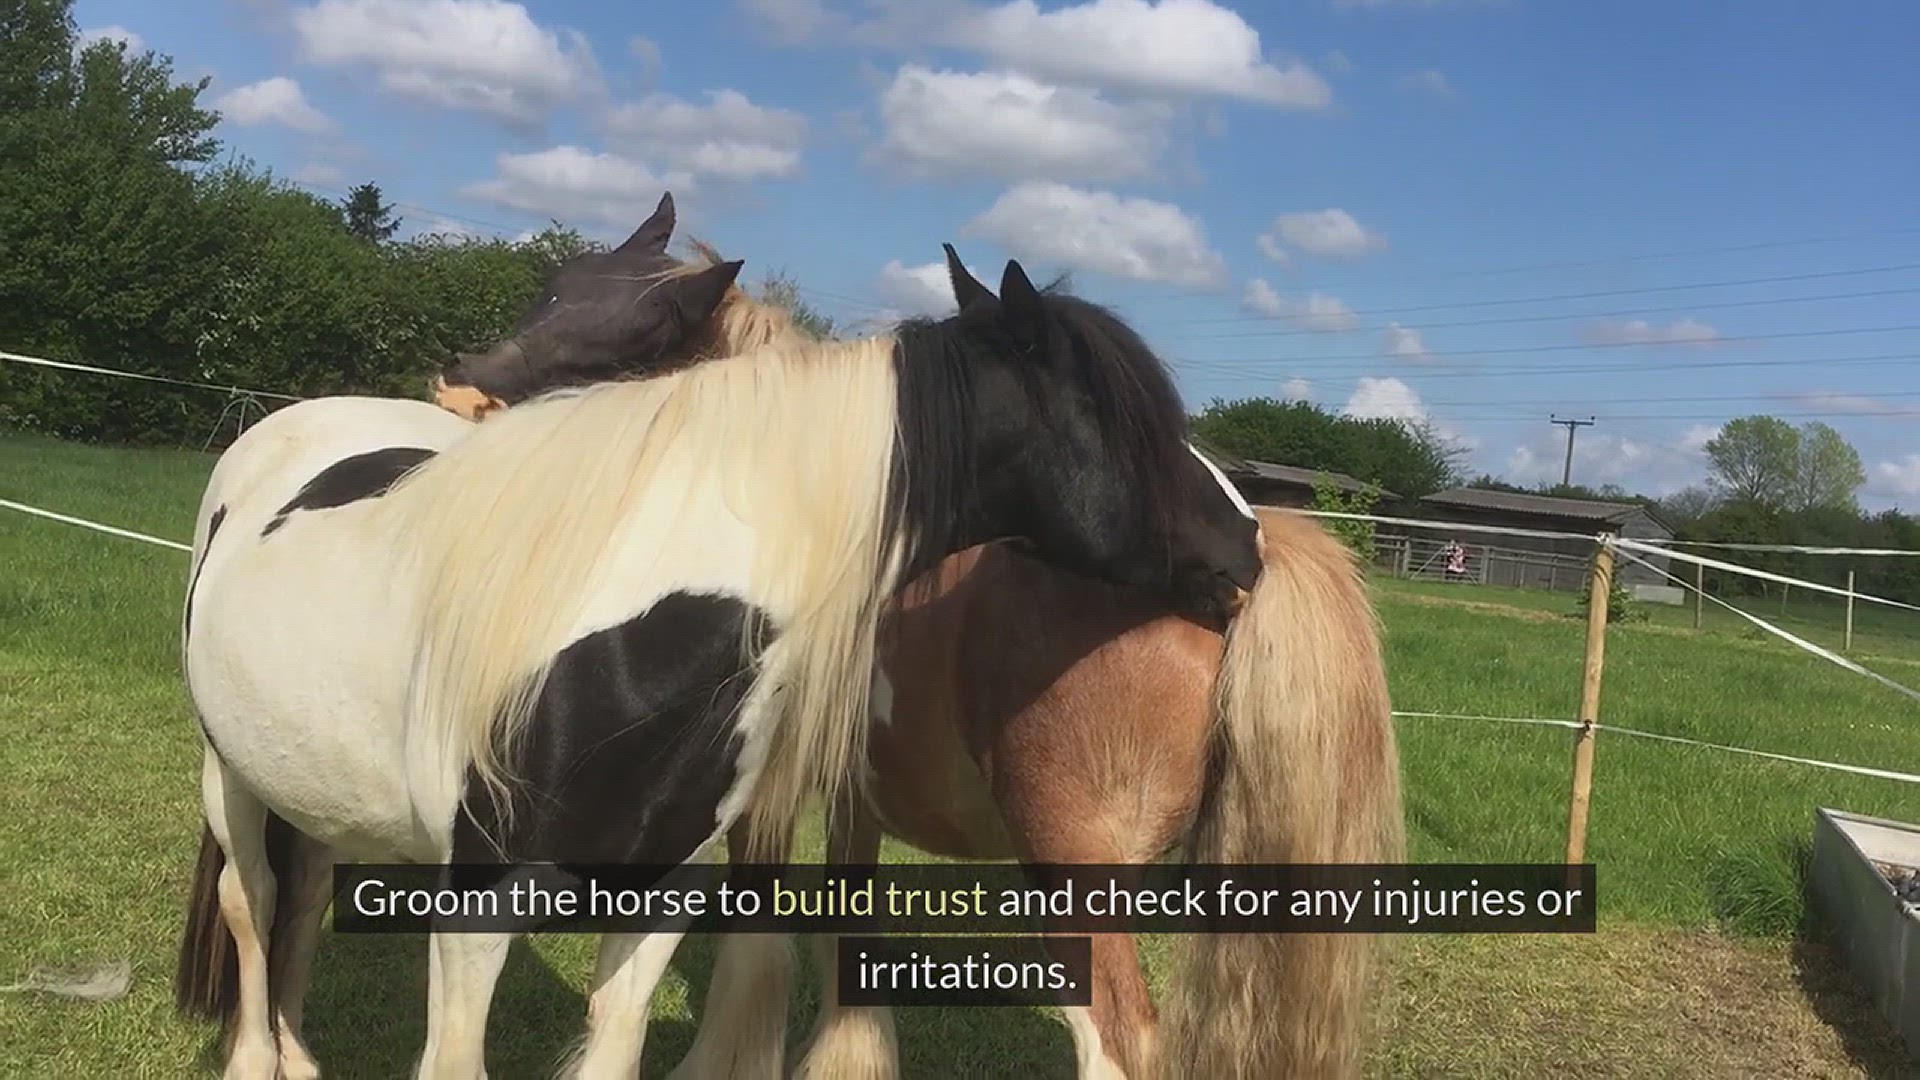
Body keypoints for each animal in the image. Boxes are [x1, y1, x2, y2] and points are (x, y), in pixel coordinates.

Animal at [173, 213, 1265, 1080]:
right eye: (1141, 422)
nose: (1248, 538)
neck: (625, 638)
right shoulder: (477, 904)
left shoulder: (665, 893)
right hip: (232, 775)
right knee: (253, 902)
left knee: (301, 900)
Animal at [430, 240, 1405, 1079]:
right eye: (553, 287)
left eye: (641, 330)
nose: (461, 393)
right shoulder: (852, 797)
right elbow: (847, 939)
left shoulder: (760, 796)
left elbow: (756, 946)